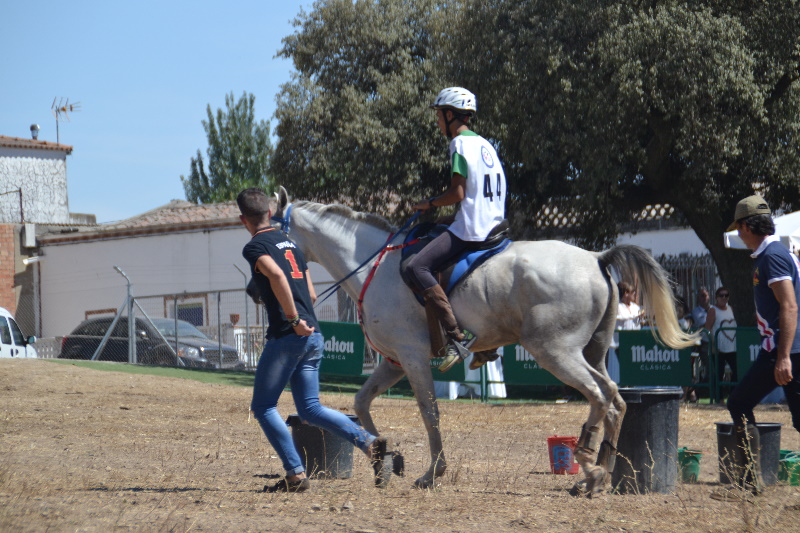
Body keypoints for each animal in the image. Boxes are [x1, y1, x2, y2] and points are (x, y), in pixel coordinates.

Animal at [272, 187, 696, 490]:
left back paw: (589, 468)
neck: (374, 266)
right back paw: (597, 473)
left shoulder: (412, 357)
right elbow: (361, 403)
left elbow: (429, 413)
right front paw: (383, 461)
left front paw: (432, 472)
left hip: (555, 352)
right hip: (592, 352)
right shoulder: (393, 361)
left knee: (599, 397)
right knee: (614, 398)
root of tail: (596, 258)